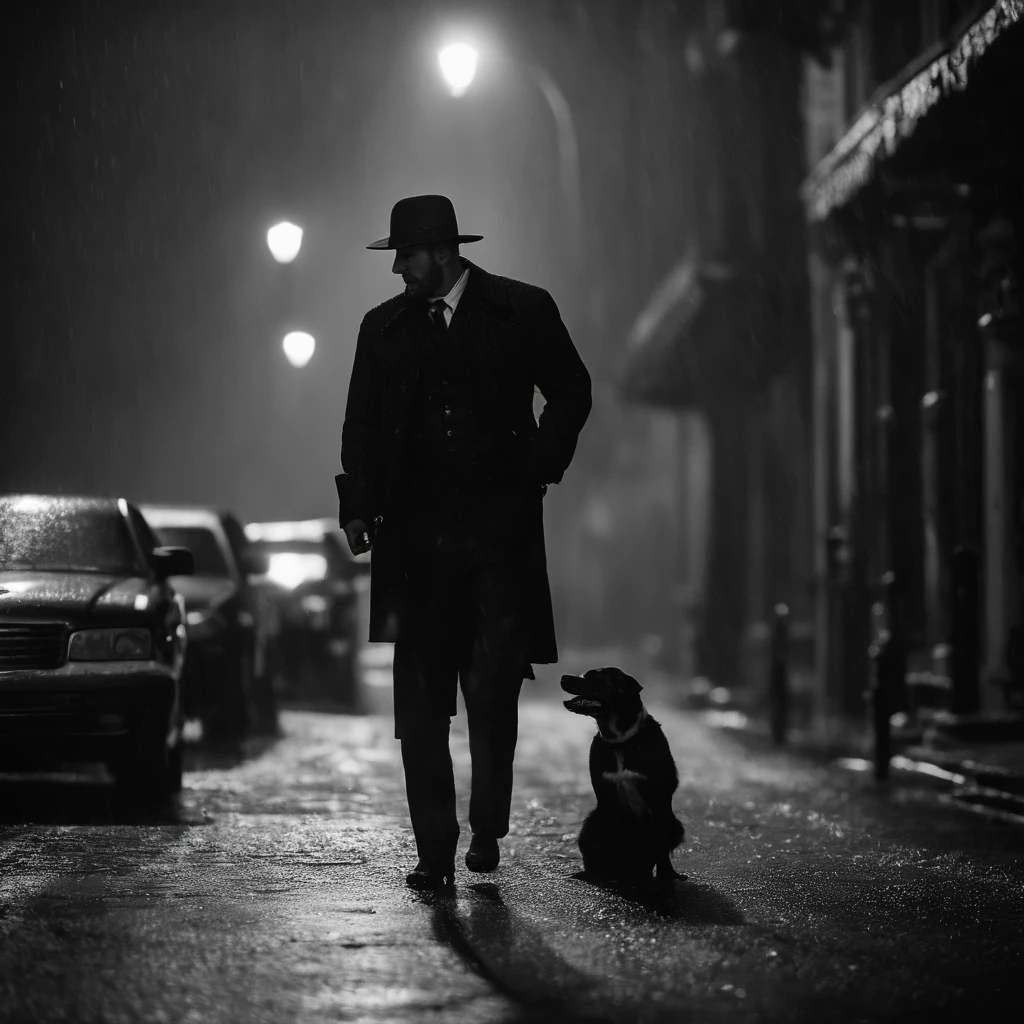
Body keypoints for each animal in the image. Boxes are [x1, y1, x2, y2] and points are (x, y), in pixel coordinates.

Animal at [561, 667, 688, 884]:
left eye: (595, 677)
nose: (563, 677)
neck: (622, 742)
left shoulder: (660, 800)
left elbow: (660, 846)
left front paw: (665, 878)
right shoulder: (607, 801)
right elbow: (615, 844)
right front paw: (621, 877)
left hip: (676, 824)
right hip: (590, 824)